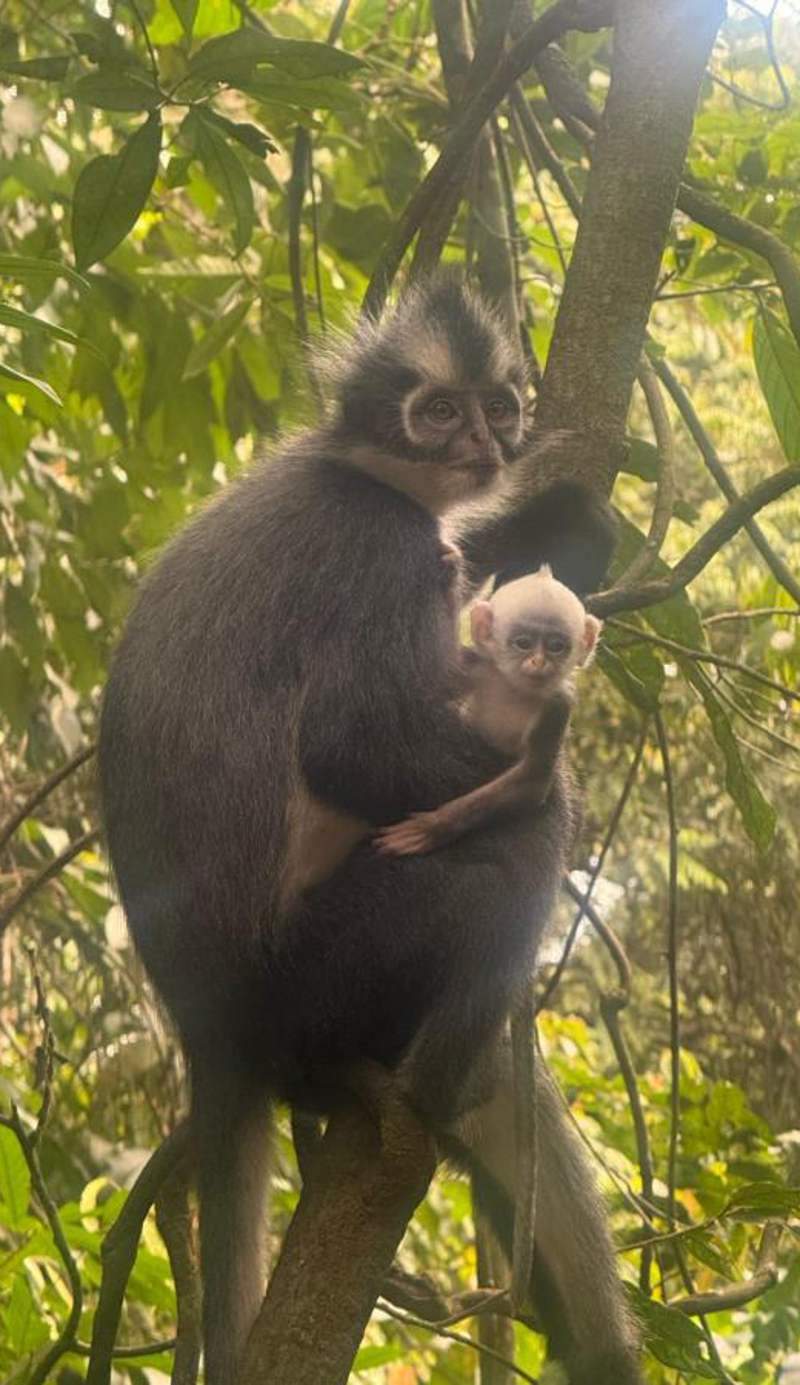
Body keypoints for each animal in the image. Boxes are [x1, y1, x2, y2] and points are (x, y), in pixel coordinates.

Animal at [375, 565, 602, 856]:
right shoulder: (476, 666)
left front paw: (432, 827)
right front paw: (447, 580)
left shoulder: (558, 706)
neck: (515, 689)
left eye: (556, 646)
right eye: (523, 643)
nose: (539, 662)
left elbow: (533, 780)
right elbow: (435, 679)